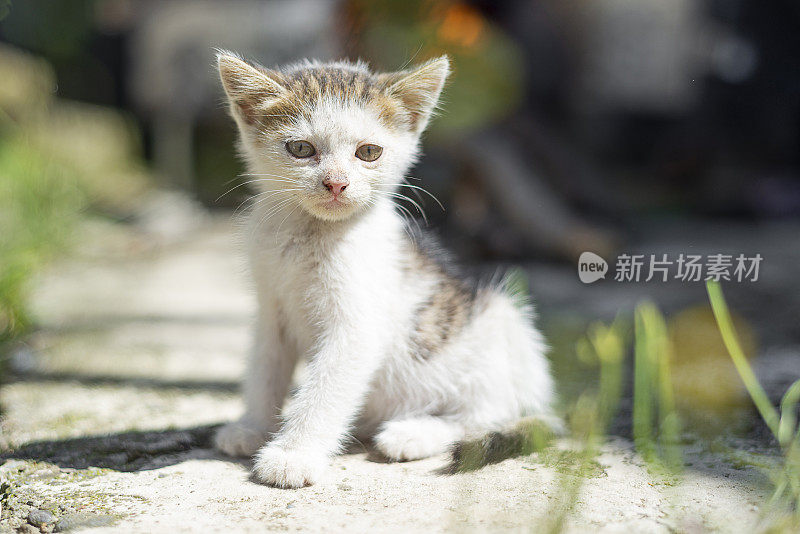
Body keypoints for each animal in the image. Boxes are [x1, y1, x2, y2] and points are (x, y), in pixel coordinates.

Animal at [216, 51, 560, 490]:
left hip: (501, 335)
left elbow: (327, 388)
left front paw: (294, 456)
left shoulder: (359, 326)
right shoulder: (271, 308)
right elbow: (265, 370)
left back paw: (412, 433)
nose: (336, 184)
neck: (308, 233)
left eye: (368, 153)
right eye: (300, 148)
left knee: (484, 417)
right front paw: (253, 427)